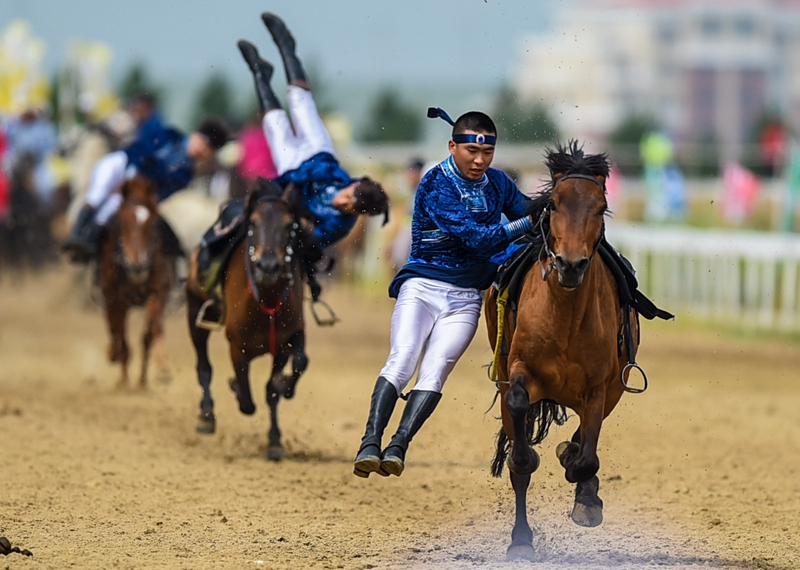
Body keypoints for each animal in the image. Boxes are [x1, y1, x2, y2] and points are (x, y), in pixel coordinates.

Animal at [99, 173, 176, 386]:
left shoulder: (158, 292)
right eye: (122, 221)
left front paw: (153, 374)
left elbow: (150, 332)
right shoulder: (116, 297)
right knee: (113, 327)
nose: (137, 267)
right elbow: (119, 333)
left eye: (151, 222)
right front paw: (124, 381)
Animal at [184, 180, 306, 460]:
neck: (267, 301)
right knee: (204, 366)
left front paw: (275, 440)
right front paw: (236, 388)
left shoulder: (286, 341)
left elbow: (282, 380)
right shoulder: (237, 347)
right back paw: (206, 414)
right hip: (194, 312)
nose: (268, 266)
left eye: (289, 225)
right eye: (253, 223)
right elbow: (247, 400)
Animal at [484, 142, 640, 560]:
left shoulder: (600, 386)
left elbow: (586, 456)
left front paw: (581, 485)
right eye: (553, 204)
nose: (570, 265)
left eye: (600, 207)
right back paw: (521, 538)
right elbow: (520, 430)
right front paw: (529, 459)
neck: (566, 313)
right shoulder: (520, 369)